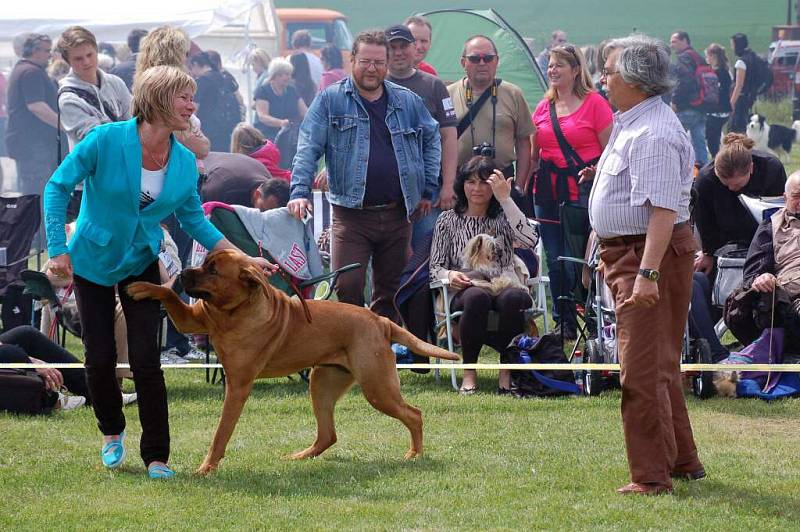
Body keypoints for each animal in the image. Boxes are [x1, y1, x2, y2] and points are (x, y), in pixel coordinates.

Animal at [128, 248, 460, 474]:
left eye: (213, 271)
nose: (184, 272)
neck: (232, 312)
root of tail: (381, 321)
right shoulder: (192, 320)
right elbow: (170, 298)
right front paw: (144, 287)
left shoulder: (237, 385)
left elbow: (221, 433)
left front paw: (206, 468)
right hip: (323, 382)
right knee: (328, 434)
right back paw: (300, 457)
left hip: (377, 387)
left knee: (414, 414)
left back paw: (414, 454)